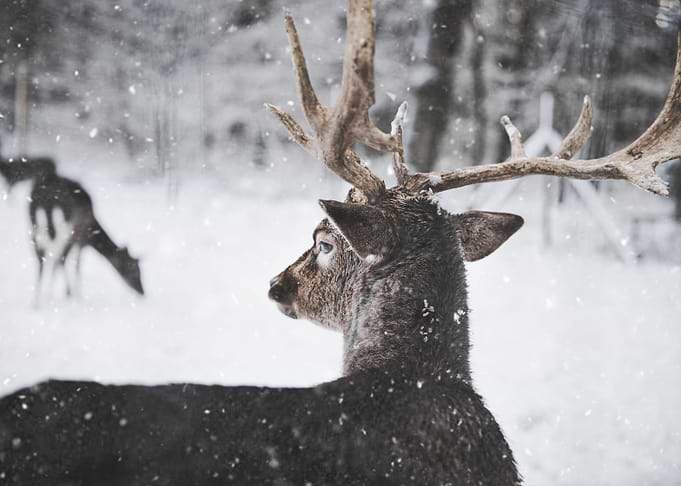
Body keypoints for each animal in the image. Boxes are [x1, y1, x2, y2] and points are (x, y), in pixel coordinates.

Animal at [29, 170, 144, 305]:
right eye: (134, 269)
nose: (142, 292)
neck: (92, 235)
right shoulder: (80, 238)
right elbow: (74, 264)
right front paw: (74, 295)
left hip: (34, 224)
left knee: (42, 256)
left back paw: (37, 301)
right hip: (64, 227)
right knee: (54, 254)